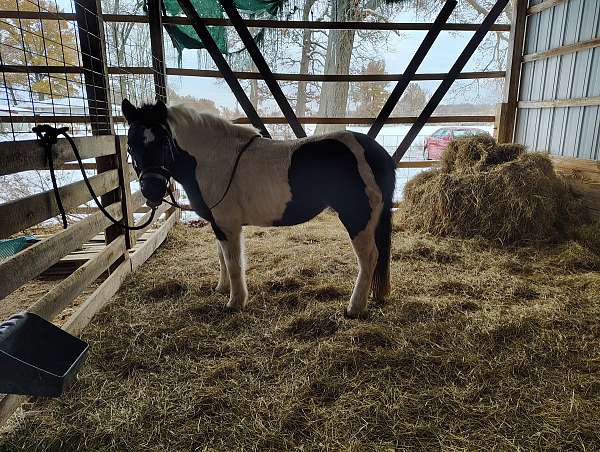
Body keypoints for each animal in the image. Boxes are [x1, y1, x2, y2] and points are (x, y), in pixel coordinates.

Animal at [120, 99, 394, 318]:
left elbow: (233, 263)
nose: (151, 191)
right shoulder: (218, 224)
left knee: (369, 258)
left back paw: (354, 309)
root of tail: (375, 151)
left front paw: (235, 302)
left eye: (163, 141)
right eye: (131, 145)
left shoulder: (228, 224)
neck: (212, 159)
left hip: (358, 218)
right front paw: (222, 289)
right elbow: (222, 257)